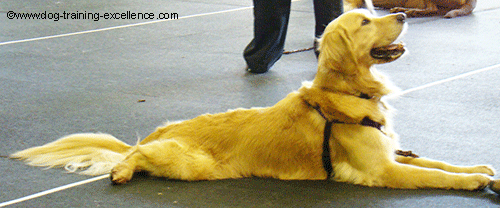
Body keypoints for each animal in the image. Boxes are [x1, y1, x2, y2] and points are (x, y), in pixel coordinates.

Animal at [8, 9, 500, 195]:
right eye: (365, 21)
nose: (400, 12)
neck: (347, 94)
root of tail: (160, 129)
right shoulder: (383, 170)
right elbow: (432, 175)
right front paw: (473, 182)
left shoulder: (393, 151)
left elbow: (439, 162)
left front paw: (480, 168)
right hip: (185, 162)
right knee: (134, 154)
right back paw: (121, 170)